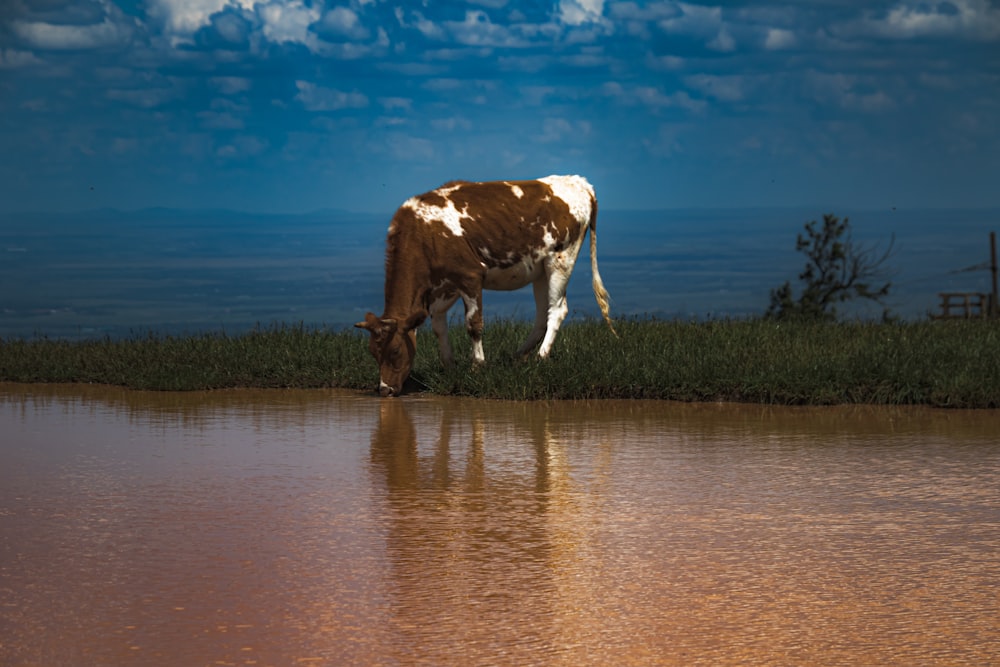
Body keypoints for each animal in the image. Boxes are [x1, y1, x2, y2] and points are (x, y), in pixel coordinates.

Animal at [356, 175, 612, 400]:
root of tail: (578, 181)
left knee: (557, 310)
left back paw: (541, 356)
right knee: (543, 314)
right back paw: (518, 357)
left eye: (395, 351)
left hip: (561, 259)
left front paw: (477, 366)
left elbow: (474, 325)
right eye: (372, 352)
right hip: (540, 270)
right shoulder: (443, 286)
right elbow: (438, 326)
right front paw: (449, 366)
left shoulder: (470, 275)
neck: (425, 233)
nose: (385, 389)